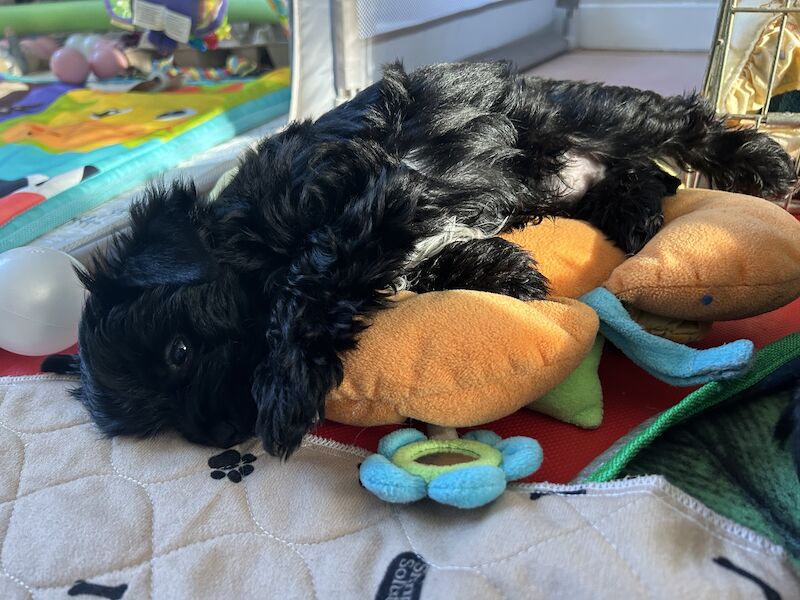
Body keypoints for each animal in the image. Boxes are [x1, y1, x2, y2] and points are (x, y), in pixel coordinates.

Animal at [45, 62, 800, 460]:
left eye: (178, 352)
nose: (221, 437)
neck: (249, 226)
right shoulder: (404, 221)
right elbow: (429, 262)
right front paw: (506, 272)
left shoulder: (371, 190)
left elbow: (309, 279)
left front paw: (285, 392)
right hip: (568, 178)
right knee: (638, 174)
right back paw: (635, 213)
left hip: (581, 113)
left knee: (676, 123)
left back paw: (765, 164)